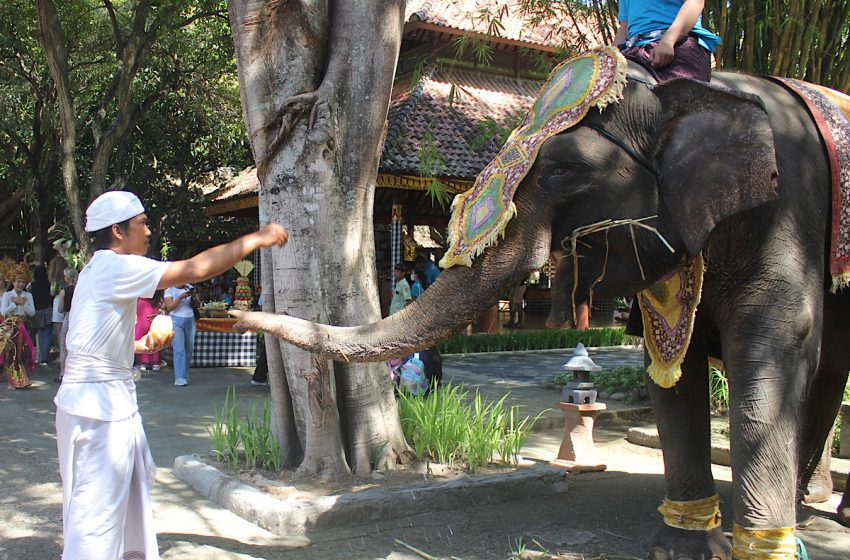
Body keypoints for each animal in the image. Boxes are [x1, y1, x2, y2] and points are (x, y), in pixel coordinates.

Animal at [235, 53, 848, 560]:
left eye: (563, 171)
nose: (239, 313)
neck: (697, 91)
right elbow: (671, 370)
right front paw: (682, 548)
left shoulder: (787, 217)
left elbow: (772, 350)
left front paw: (759, 551)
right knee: (828, 376)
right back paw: (808, 500)